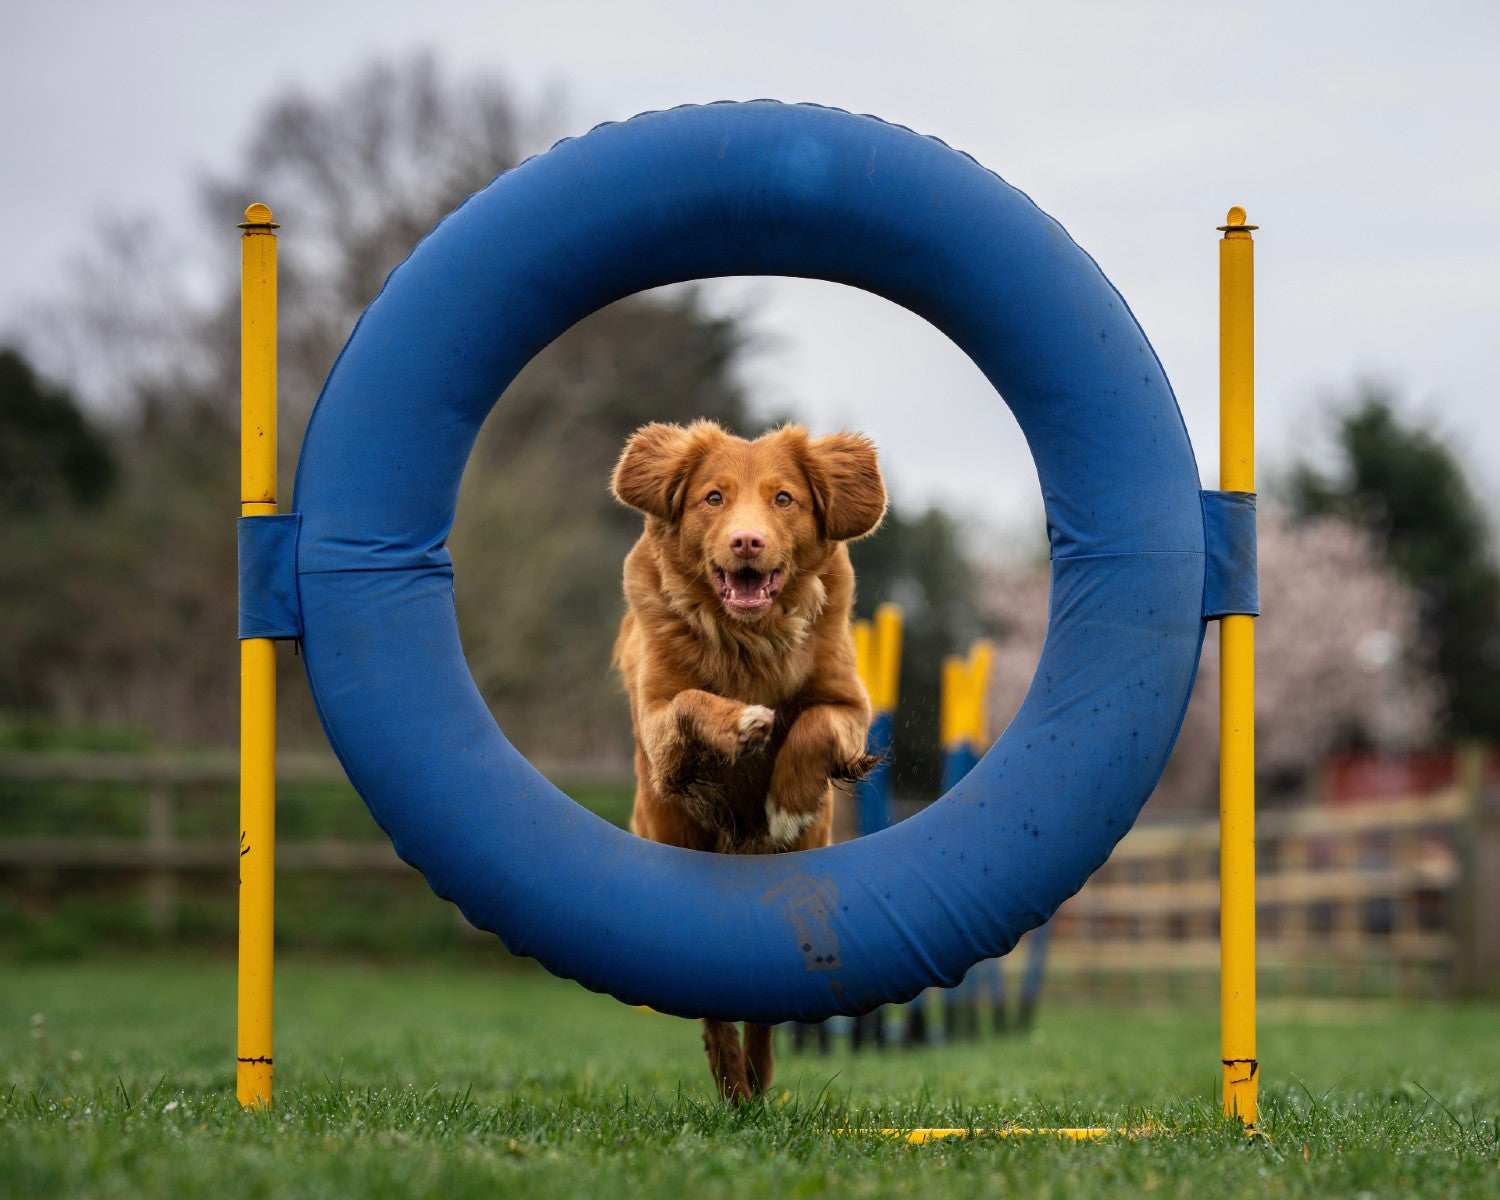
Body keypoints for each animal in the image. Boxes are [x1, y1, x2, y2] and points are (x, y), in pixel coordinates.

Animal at [612, 417, 882, 1104]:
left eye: (784, 498)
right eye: (714, 498)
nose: (746, 541)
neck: (748, 638)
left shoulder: (848, 701)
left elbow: (813, 724)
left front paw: (784, 801)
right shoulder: (659, 721)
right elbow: (689, 703)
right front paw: (742, 723)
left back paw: (755, 1081)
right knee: (713, 1002)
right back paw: (733, 1082)